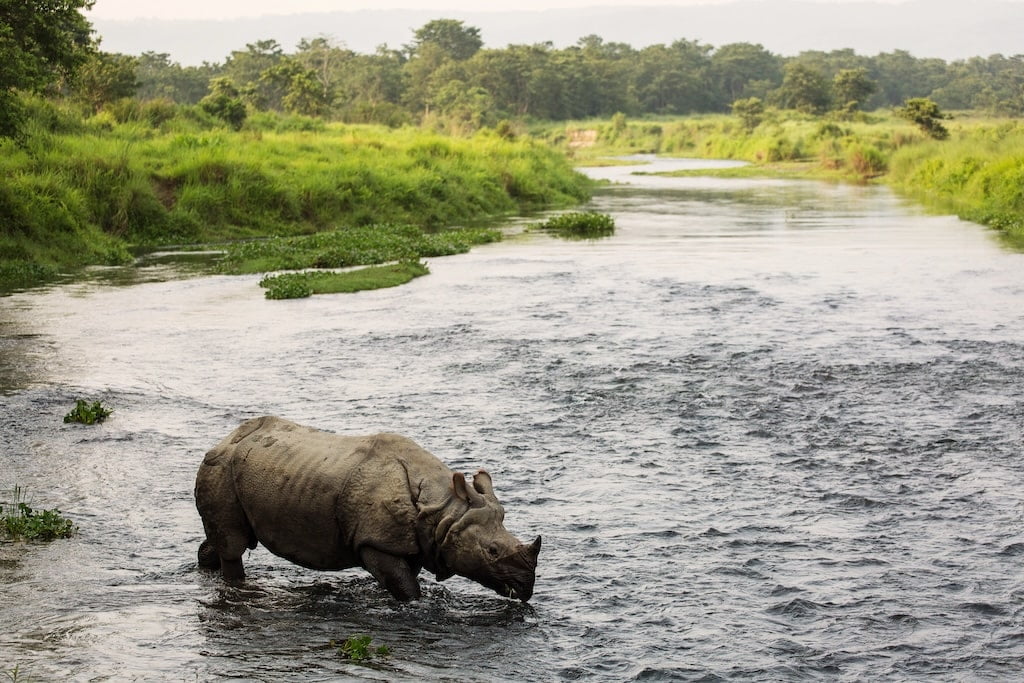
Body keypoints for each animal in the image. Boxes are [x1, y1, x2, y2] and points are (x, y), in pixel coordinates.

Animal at [2, 157, 1024, 679]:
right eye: (497, 552)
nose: (529, 596)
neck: (446, 505)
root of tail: (217, 437)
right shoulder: (382, 544)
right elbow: (406, 592)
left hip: (235, 462)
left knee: (227, 538)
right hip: (218, 463)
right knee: (229, 537)